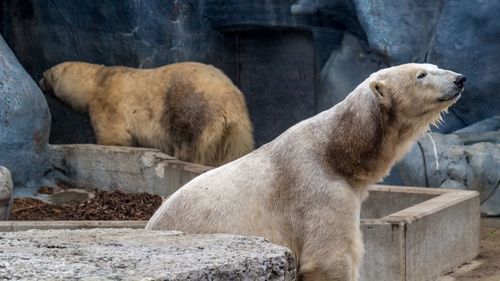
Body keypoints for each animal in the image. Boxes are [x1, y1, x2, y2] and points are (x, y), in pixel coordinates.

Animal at [40, 61, 254, 166]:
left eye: (45, 74)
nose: (40, 82)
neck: (97, 80)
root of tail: (229, 101)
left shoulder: (108, 102)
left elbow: (114, 135)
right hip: (238, 128)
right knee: (234, 148)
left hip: (190, 110)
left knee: (189, 141)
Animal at [145, 64, 464, 280]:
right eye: (421, 75)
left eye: (434, 66)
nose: (459, 79)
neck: (337, 150)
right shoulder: (318, 191)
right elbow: (329, 258)